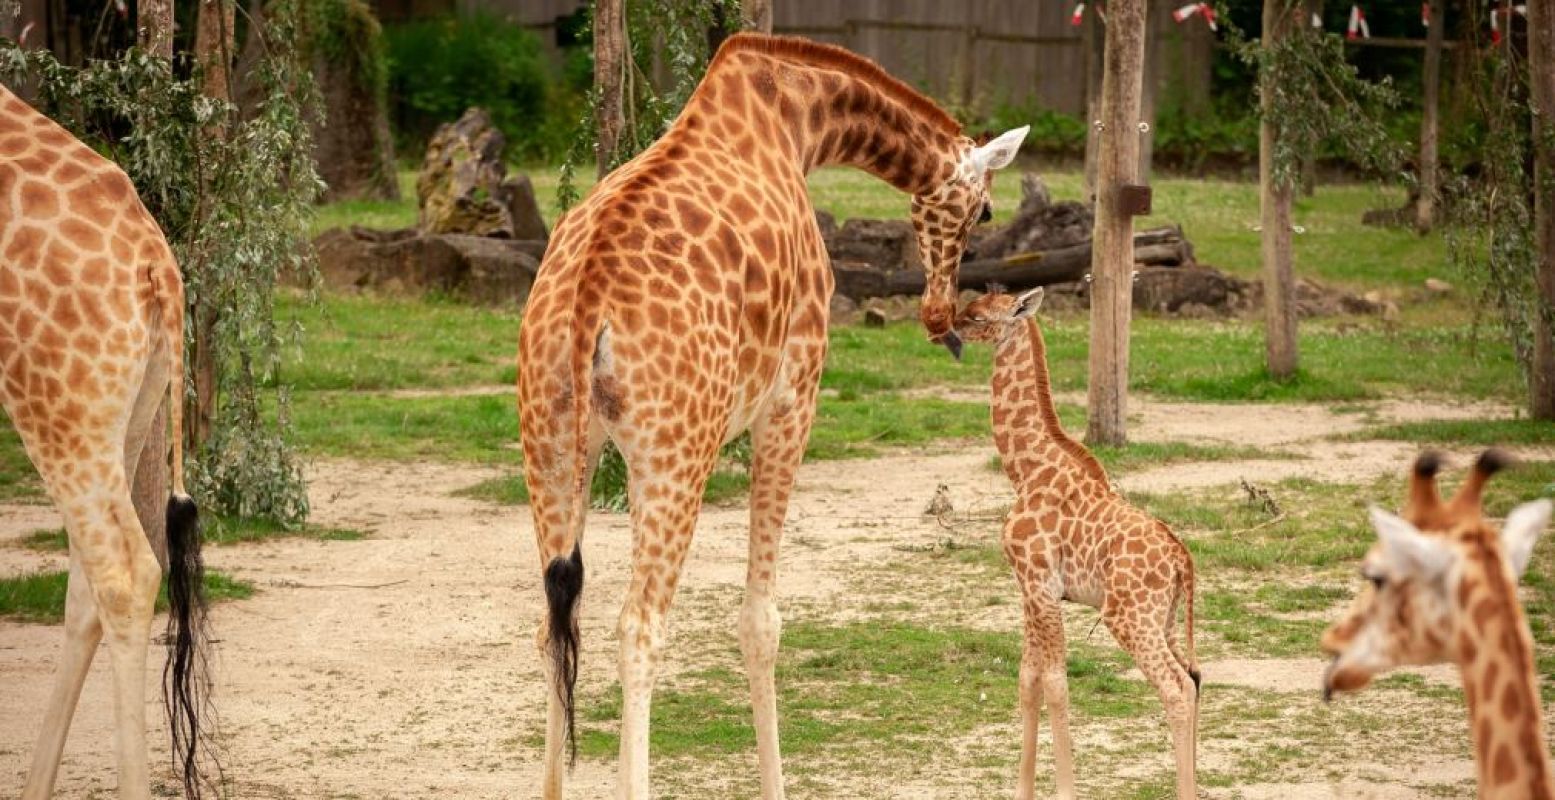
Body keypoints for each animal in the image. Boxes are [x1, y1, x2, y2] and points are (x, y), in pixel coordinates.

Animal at [516, 32, 1026, 796]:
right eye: (986, 212)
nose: (940, 316)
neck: (799, 119)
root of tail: (586, 300)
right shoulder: (792, 399)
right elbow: (762, 621)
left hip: (547, 443)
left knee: (555, 620)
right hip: (674, 453)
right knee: (638, 628)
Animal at [945, 287, 1200, 796]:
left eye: (978, 316)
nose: (950, 329)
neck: (1024, 469)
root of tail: (1181, 558)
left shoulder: (1042, 585)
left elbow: (1057, 685)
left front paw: (1064, 789)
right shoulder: (1028, 587)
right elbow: (1028, 679)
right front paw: (1021, 790)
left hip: (1129, 617)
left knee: (1175, 689)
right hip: (1162, 618)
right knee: (1193, 679)